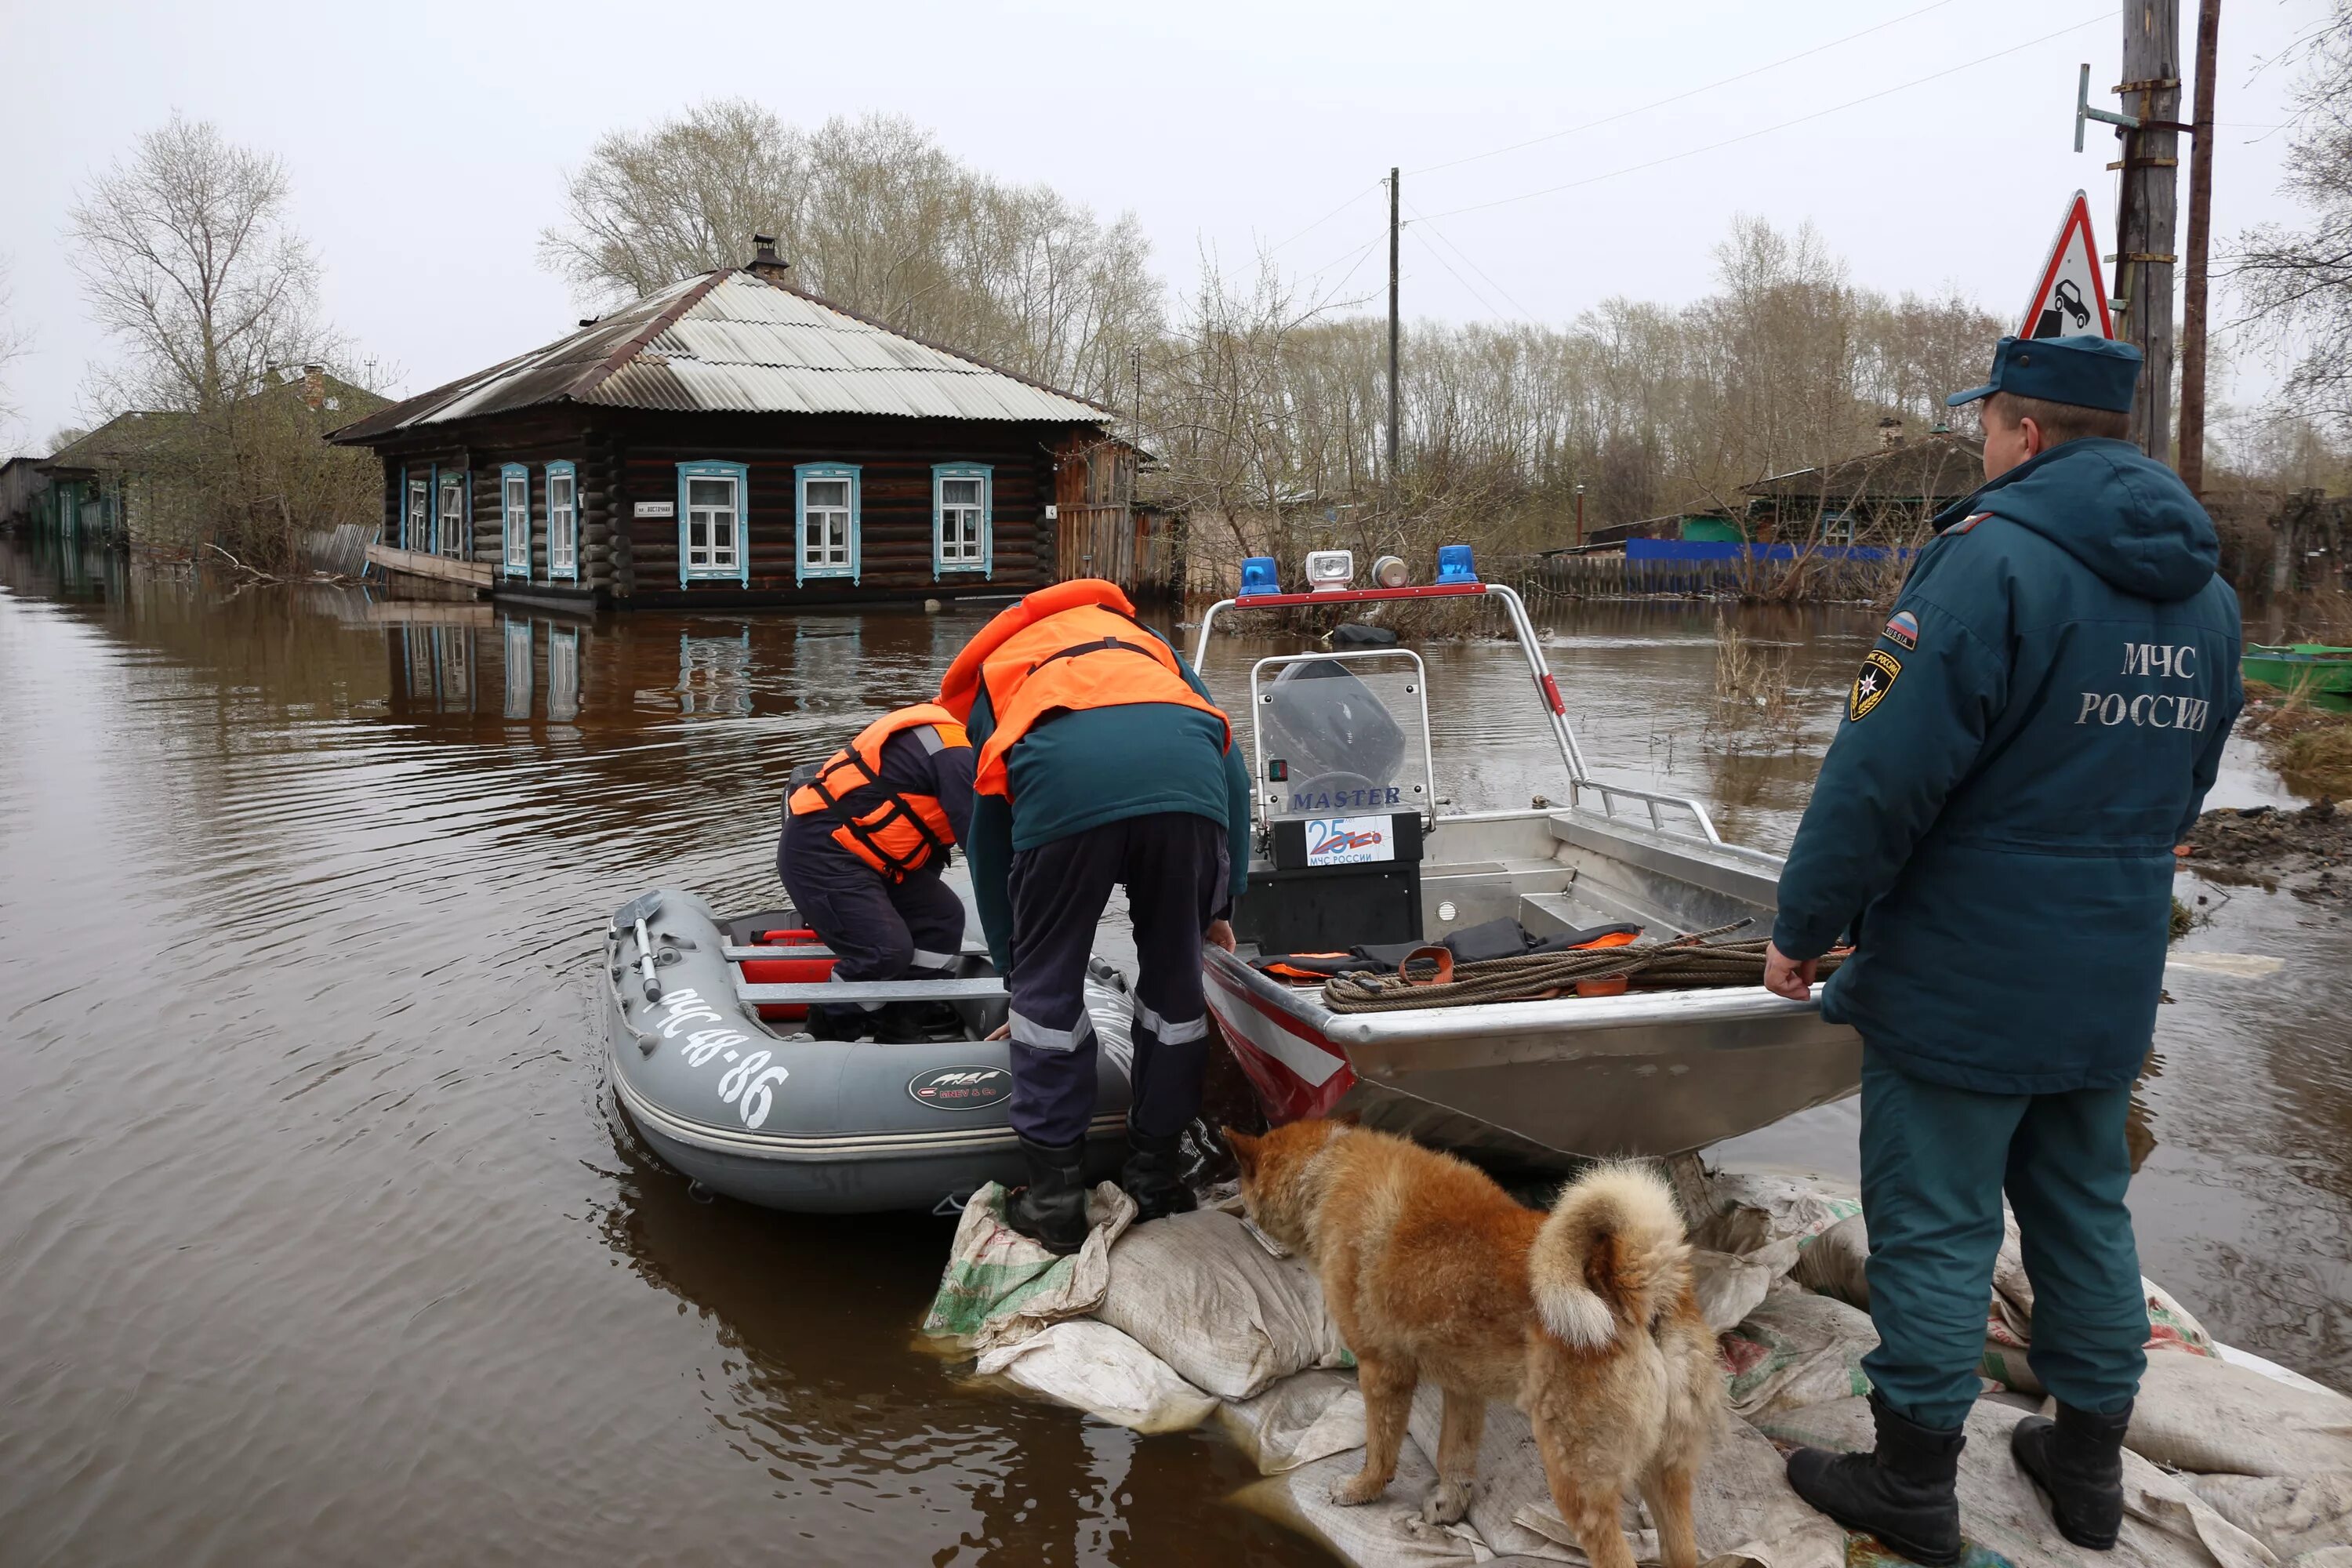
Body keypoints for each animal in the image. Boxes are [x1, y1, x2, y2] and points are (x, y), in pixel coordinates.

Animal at [1223, 1123, 1722, 1568]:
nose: (1234, 1216)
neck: (1325, 1172)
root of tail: (1632, 1285)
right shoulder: (1464, 1388)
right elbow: (1453, 1458)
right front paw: (1449, 1506)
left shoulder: (1382, 1372)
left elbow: (1381, 1451)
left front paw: (1361, 1490)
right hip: (1667, 1474)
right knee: (1682, 1552)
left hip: (1578, 1483)